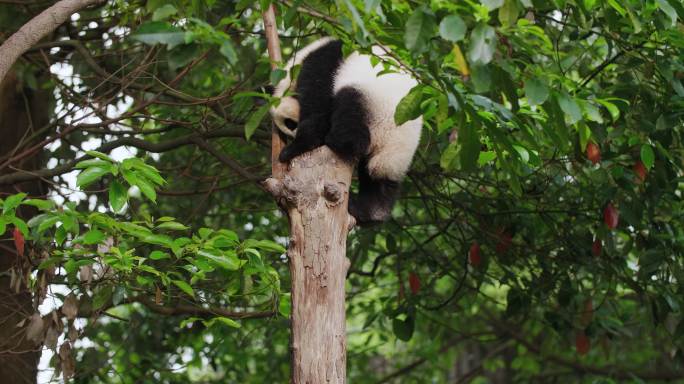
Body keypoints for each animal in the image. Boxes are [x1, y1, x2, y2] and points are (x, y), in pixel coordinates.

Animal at [268, 37, 422, 225]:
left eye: (289, 123)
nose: (292, 136)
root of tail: (390, 139)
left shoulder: (322, 64)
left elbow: (317, 109)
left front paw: (293, 149)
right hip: (397, 155)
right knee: (380, 179)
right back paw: (374, 211)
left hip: (371, 103)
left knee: (350, 119)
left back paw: (336, 140)